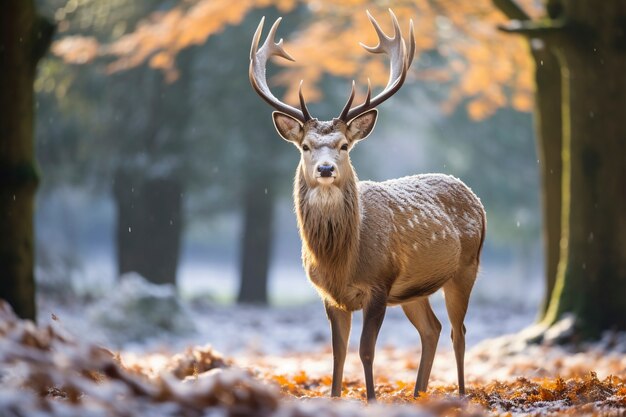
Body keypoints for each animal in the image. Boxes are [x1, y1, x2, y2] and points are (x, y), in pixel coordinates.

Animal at [246, 8, 486, 400]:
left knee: (458, 331)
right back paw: (418, 395)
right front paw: (334, 397)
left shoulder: (378, 284)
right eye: (305, 146)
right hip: (413, 290)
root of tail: (474, 197)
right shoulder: (329, 295)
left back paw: (462, 394)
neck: (340, 259)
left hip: (467, 266)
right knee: (431, 329)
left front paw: (372, 399)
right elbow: (338, 353)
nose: (325, 169)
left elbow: (366, 350)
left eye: (344, 145)